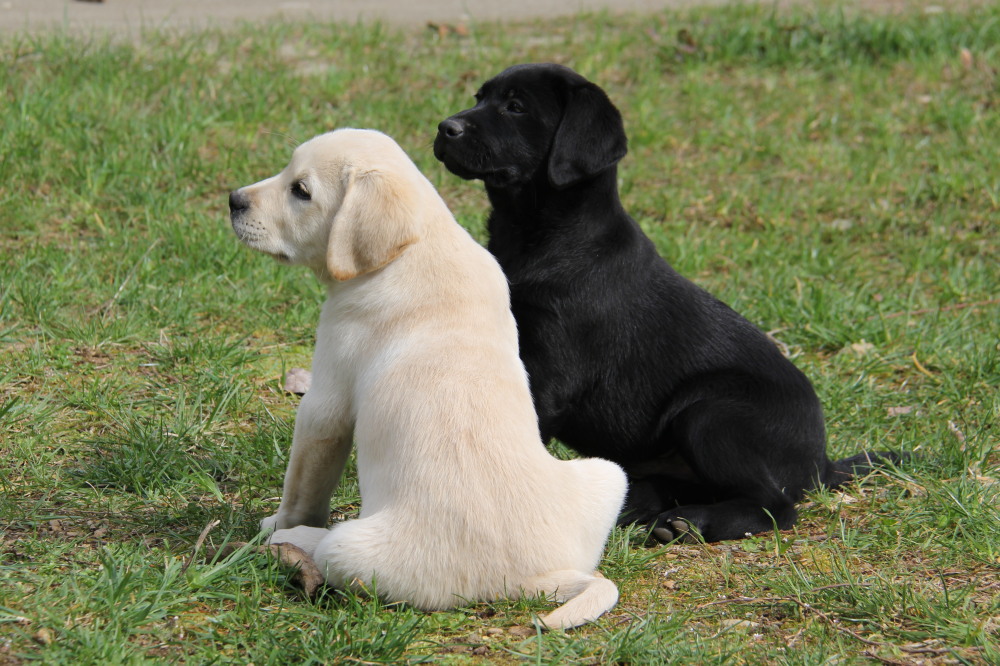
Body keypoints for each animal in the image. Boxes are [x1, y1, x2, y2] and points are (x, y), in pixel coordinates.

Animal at [230, 130, 628, 628]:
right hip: (609, 474)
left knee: (331, 546)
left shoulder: (326, 399)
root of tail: (531, 580)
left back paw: (298, 539)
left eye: (300, 190)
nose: (233, 200)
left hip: (350, 550)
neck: (417, 245)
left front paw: (278, 524)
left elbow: (304, 483)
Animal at [430, 62, 900, 544]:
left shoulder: (552, 372)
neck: (539, 236)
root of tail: (822, 464)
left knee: (776, 507)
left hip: (712, 411)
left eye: (516, 106)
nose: (445, 127)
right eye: (479, 97)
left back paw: (688, 522)